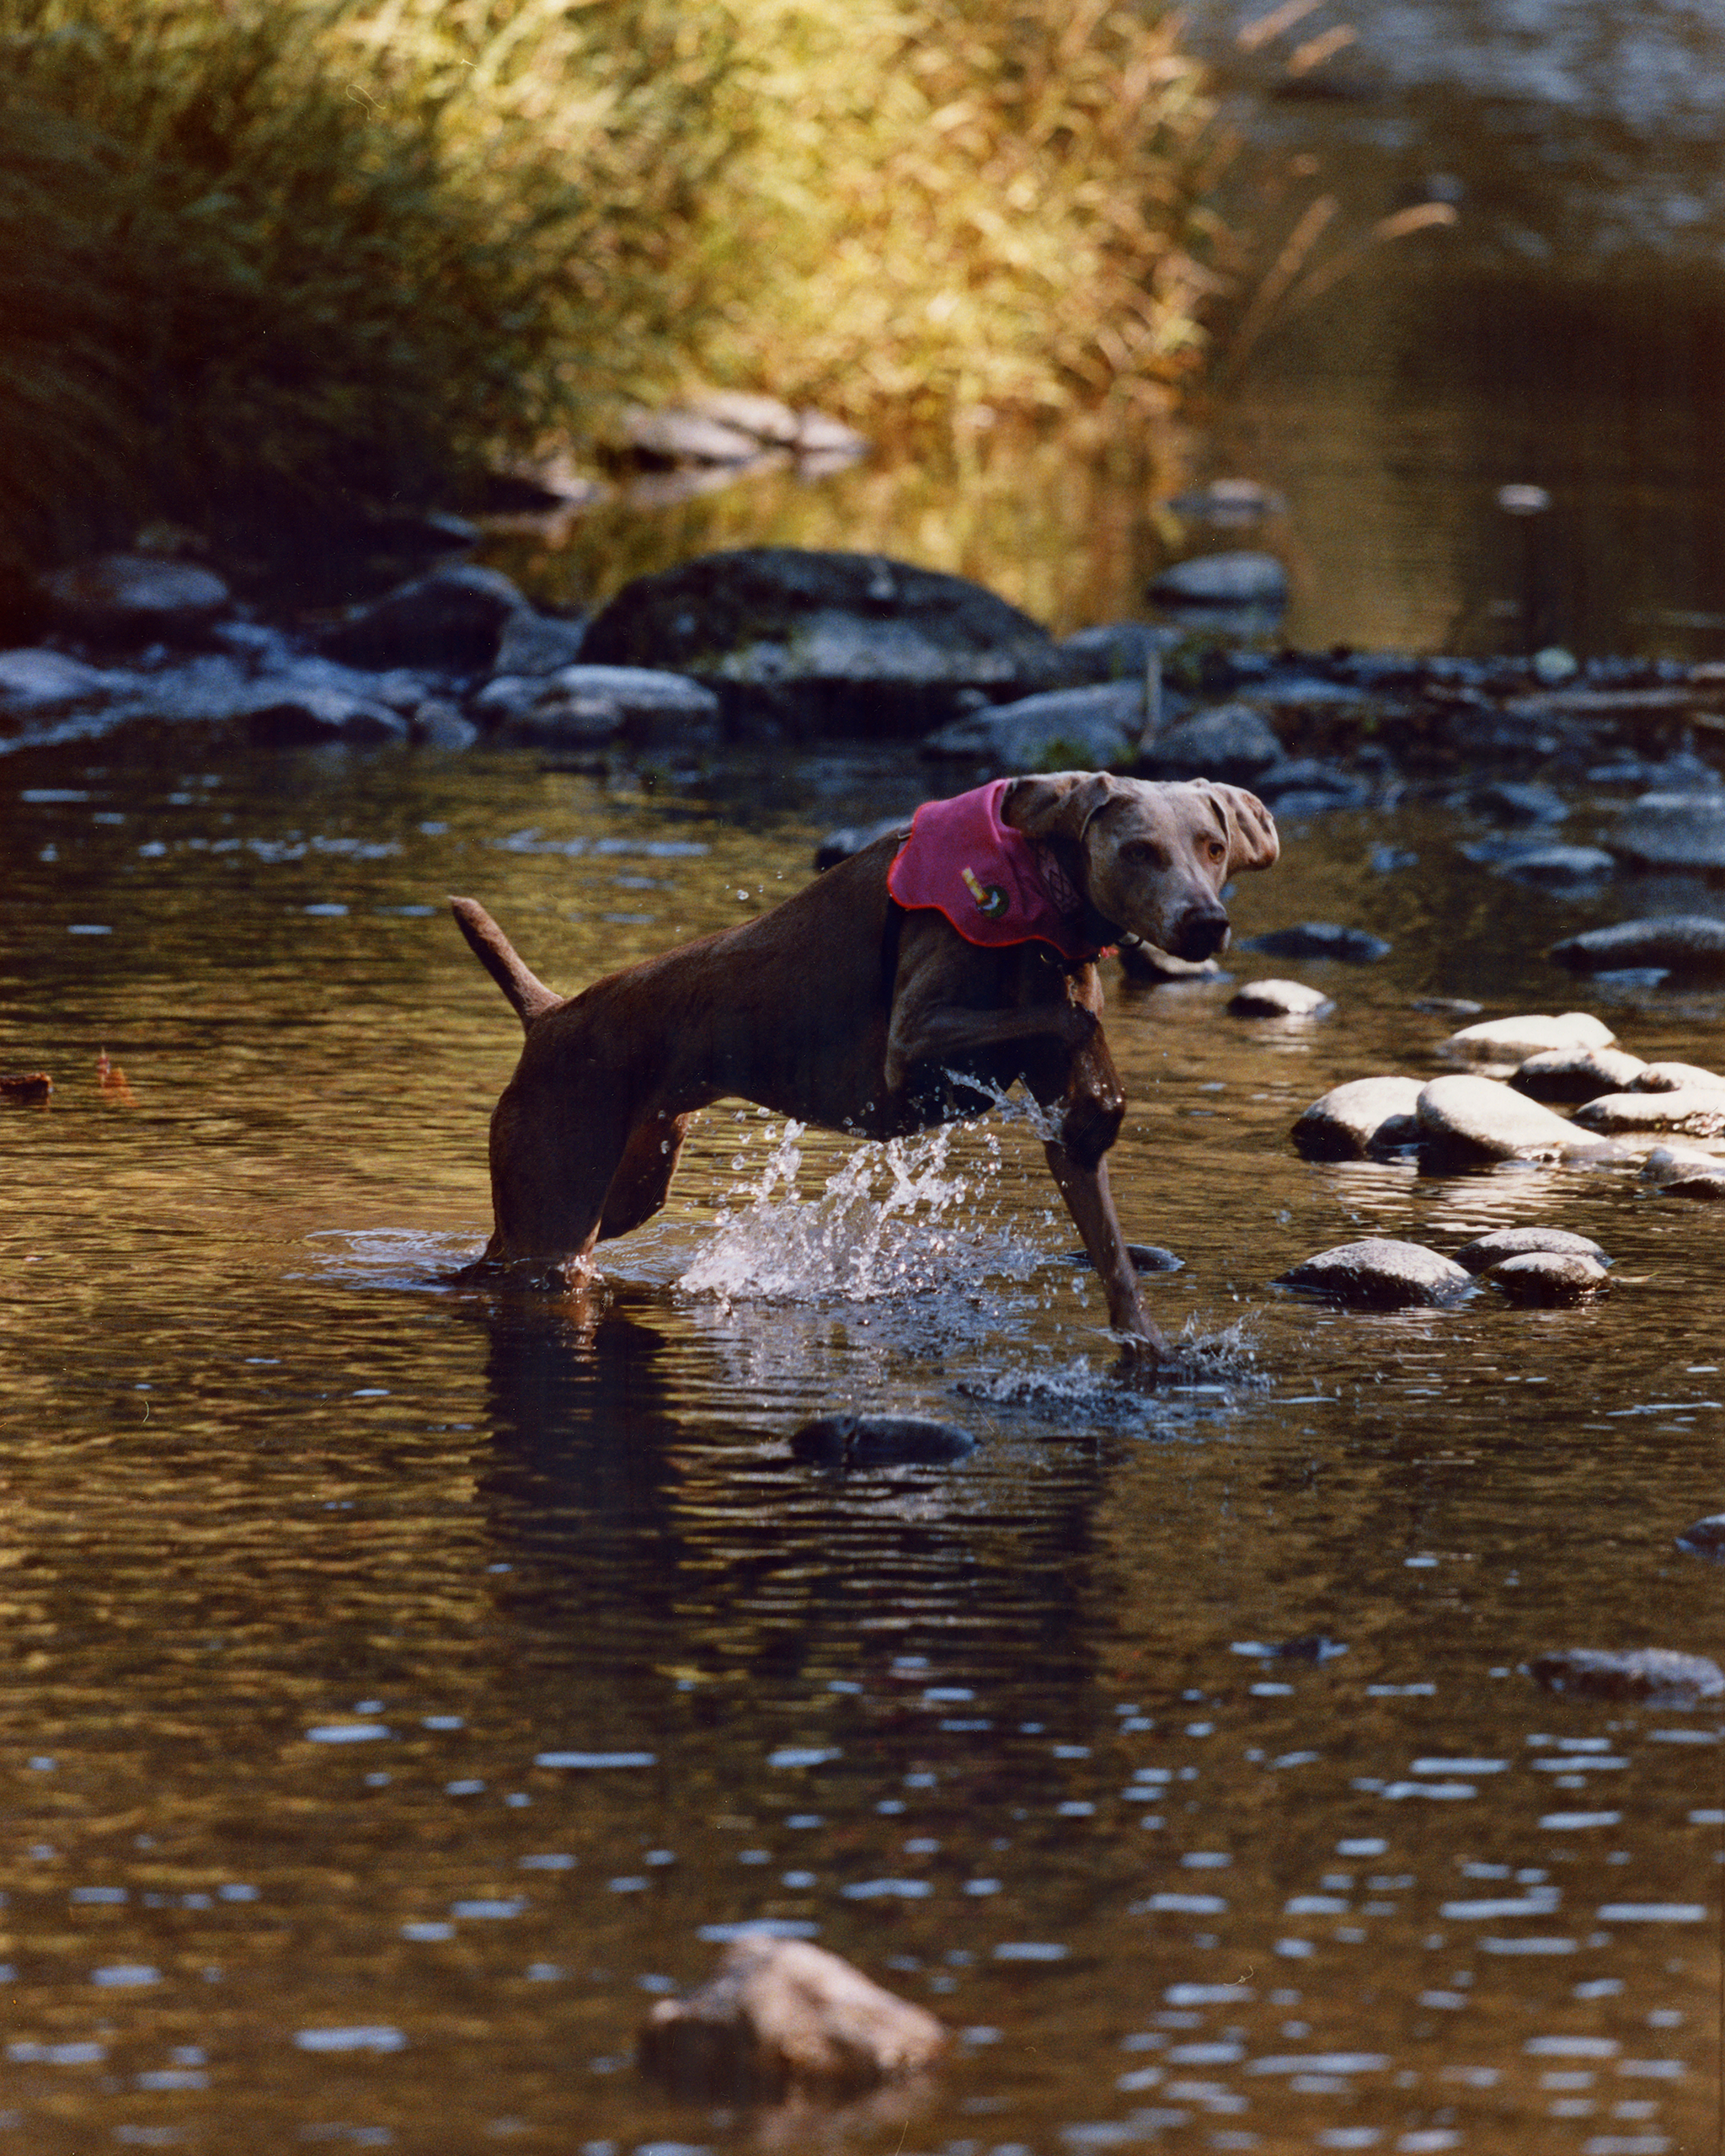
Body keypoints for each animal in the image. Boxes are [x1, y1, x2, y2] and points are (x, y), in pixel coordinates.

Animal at [451, 776, 1276, 1362]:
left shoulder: (1059, 1129)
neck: (1042, 888)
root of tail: (548, 1013)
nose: (1206, 923)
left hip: (631, 1182)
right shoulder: (911, 1044)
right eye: (1140, 850)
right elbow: (1077, 1020)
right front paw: (1102, 1088)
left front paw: (1150, 1350)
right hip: (555, 1210)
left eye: (1212, 846)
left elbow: (1112, 1248)